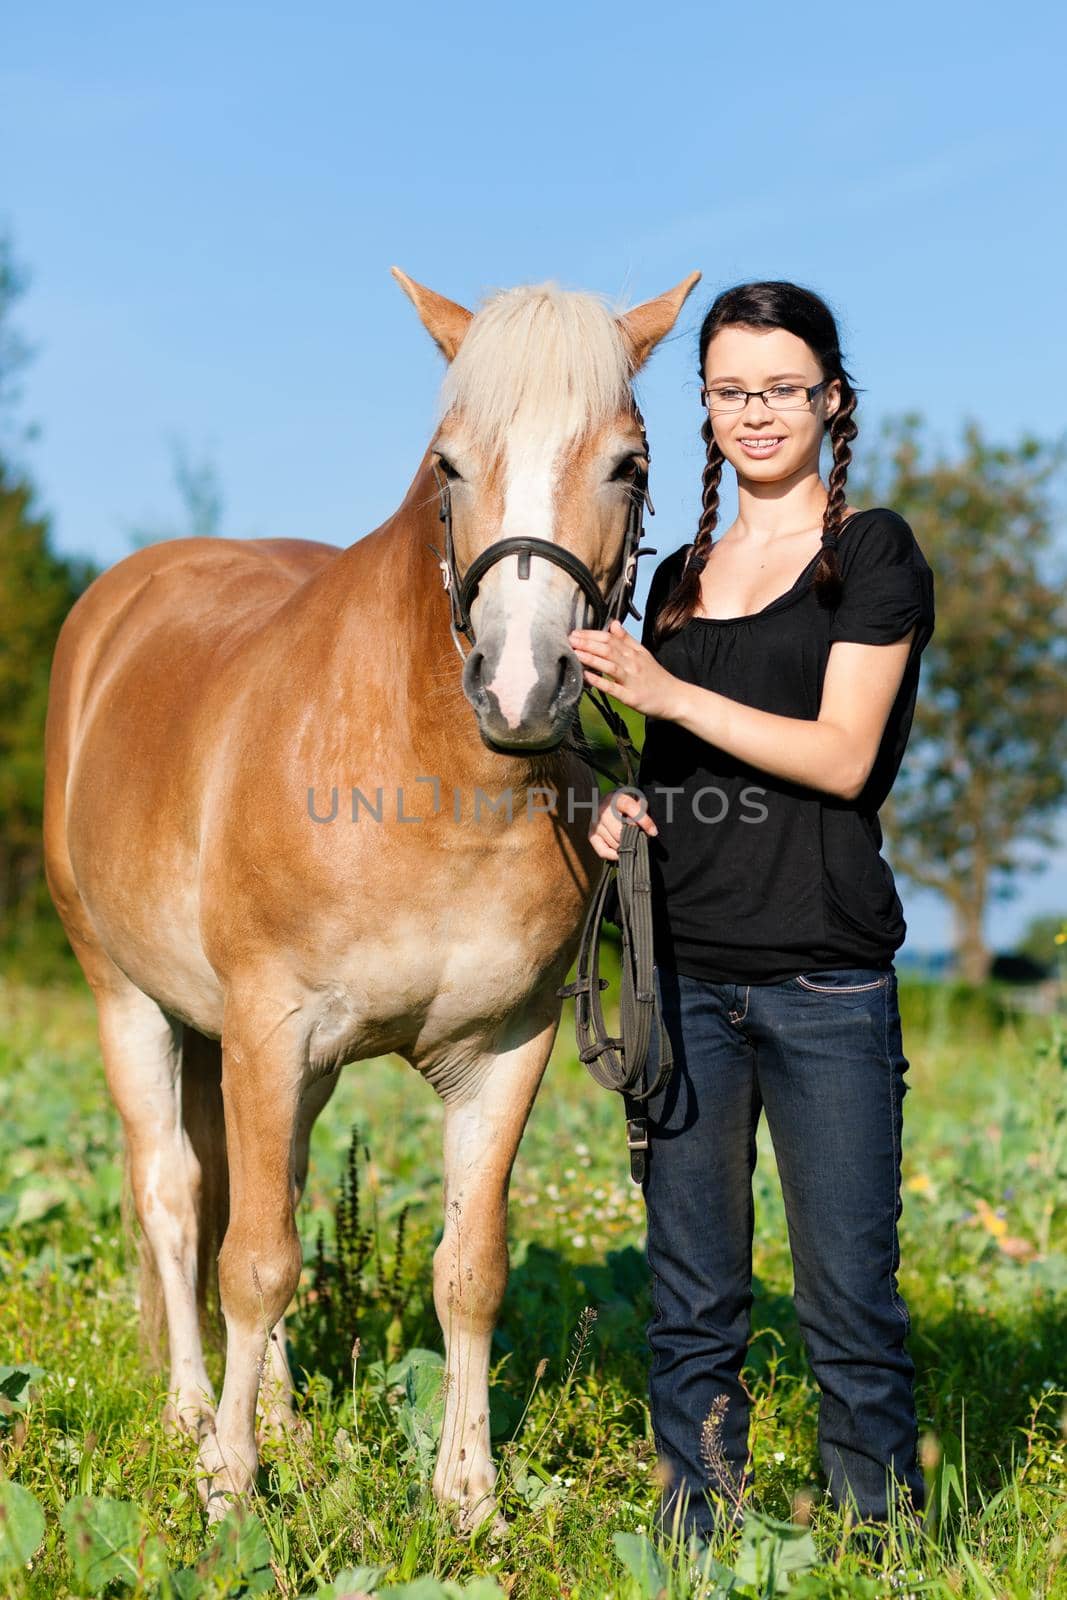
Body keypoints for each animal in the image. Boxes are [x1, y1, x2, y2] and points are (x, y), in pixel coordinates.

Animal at [41, 268, 700, 1529]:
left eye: (628, 463)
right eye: (448, 463)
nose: (518, 686)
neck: (426, 777)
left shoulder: (503, 1048)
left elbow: (466, 1270)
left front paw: (467, 1494)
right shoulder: (268, 1026)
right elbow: (250, 1260)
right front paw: (229, 1485)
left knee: (272, 1190)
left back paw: (290, 1422)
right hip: (129, 1003)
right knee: (178, 1198)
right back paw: (197, 1413)